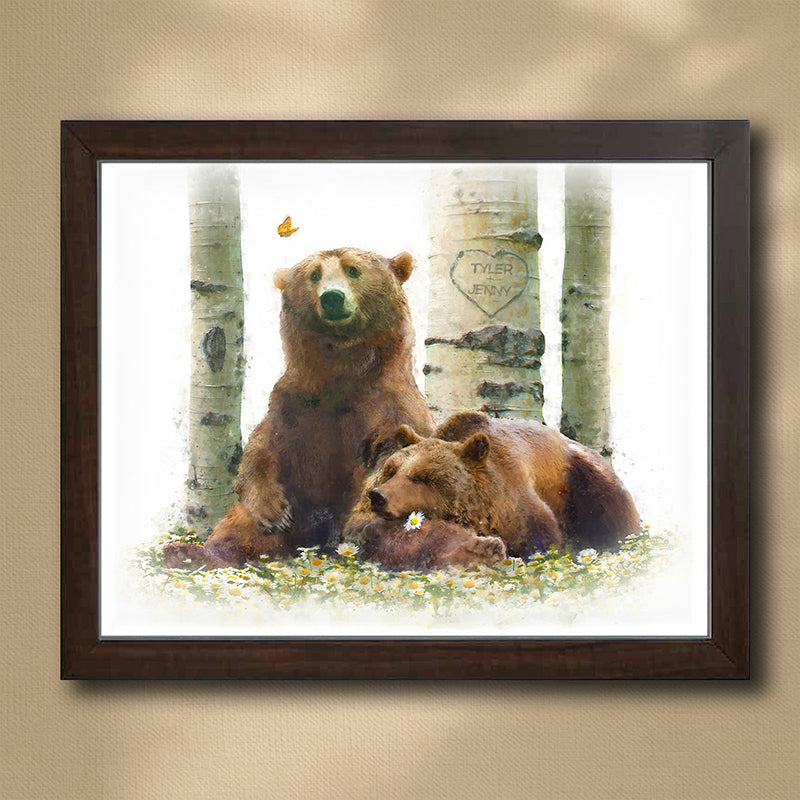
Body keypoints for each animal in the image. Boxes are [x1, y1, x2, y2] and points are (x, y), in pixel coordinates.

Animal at [163, 247, 434, 571]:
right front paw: (273, 513)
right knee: (238, 525)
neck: (343, 372)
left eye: (353, 269)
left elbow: (396, 452)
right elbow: (262, 449)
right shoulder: (296, 405)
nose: (332, 297)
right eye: (314, 274)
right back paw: (189, 552)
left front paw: (362, 517)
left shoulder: (389, 403)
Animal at [345, 411, 640, 559]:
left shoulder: (518, 504)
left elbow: (540, 541)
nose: (378, 496)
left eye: (421, 477)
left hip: (588, 483)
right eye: (391, 471)